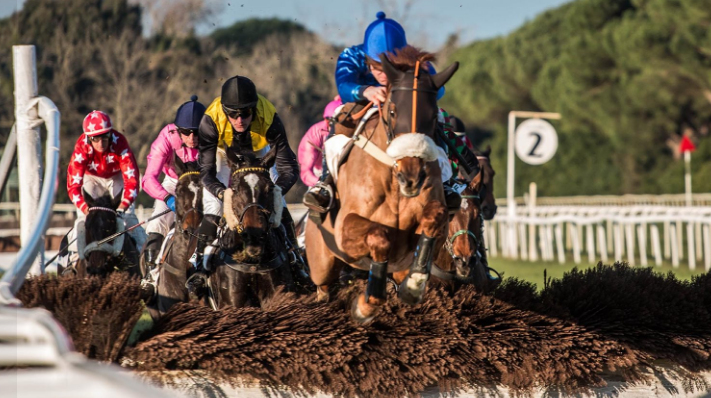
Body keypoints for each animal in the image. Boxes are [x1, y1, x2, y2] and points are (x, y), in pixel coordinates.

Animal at [306, 46, 462, 322]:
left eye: (433, 116)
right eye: (392, 111)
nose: (411, 177)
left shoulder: (434, 217)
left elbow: (434, 217)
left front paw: (414, 285)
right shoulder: (345, 231)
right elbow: (379, 236)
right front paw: (365, 305)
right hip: (321, 265)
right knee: (323, 288)